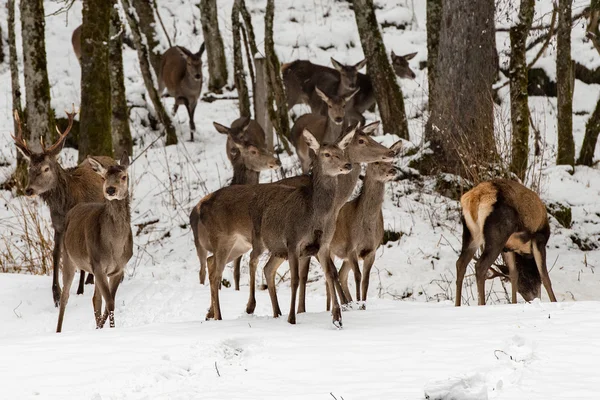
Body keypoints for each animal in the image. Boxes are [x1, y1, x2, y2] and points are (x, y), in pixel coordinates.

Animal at [11, 108, 117, 304]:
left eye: (46, 168)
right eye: (29, 167)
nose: (28, 190)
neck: (67, 204)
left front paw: (79, 289)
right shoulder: (58, 225)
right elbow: (55, 254)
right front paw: (56, 294)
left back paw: (89, 281)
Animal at [56, 152, 132, 332]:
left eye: (123, 176)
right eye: (104, 177)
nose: (110, 189)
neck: (115, 248)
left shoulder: (118, 269)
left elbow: (107, 301)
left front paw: (102, 327)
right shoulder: (98, 264)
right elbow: (109, 302)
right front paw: (110, 329)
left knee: (95, 298)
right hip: (68, 256)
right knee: (65, 296)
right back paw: (58, 331)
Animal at [328, 161, 398, 304]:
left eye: (392, 161)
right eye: (377, 162)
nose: (393, 170)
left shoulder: (371, 251)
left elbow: (366, 280)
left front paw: (363, 304)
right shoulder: (351, 247)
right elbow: (358, 276)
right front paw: (359, 303)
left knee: (341, 274)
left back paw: (347, 302)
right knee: (330, 275)